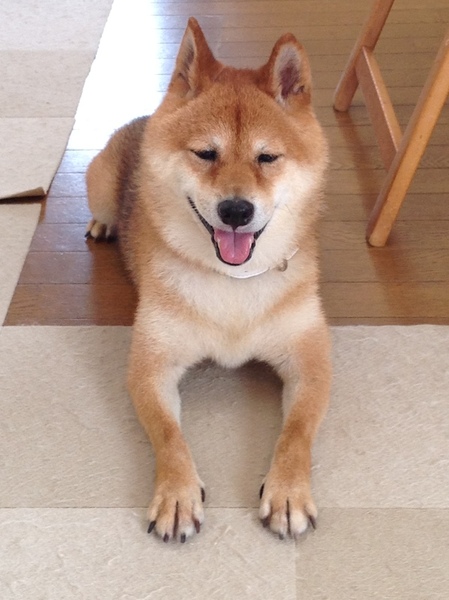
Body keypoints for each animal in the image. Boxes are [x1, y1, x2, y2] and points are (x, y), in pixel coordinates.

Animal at [85, 17, 331, 543]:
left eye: (267, 158)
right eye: (205, 154)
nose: (236, 210)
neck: (231, 282)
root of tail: (144, 118)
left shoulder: (309, 360)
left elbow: (297, 432)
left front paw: (287, 493)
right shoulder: (152, 365)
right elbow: (169, 436)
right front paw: (177, 495)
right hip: (99, 184)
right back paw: (102, 225)